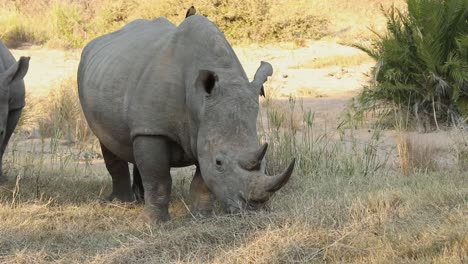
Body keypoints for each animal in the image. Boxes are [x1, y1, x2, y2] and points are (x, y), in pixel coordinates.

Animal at [78, 11, 294, 223]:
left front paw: (202, 218)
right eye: (219, 163)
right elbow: (158, 179)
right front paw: (152, 224)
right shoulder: (154, 130)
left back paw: (138, 200)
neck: (198, 101)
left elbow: (202, 181)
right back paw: (122, 203)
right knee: (107, 140)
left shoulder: (202, 130)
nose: (253, 208)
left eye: (264, 164)